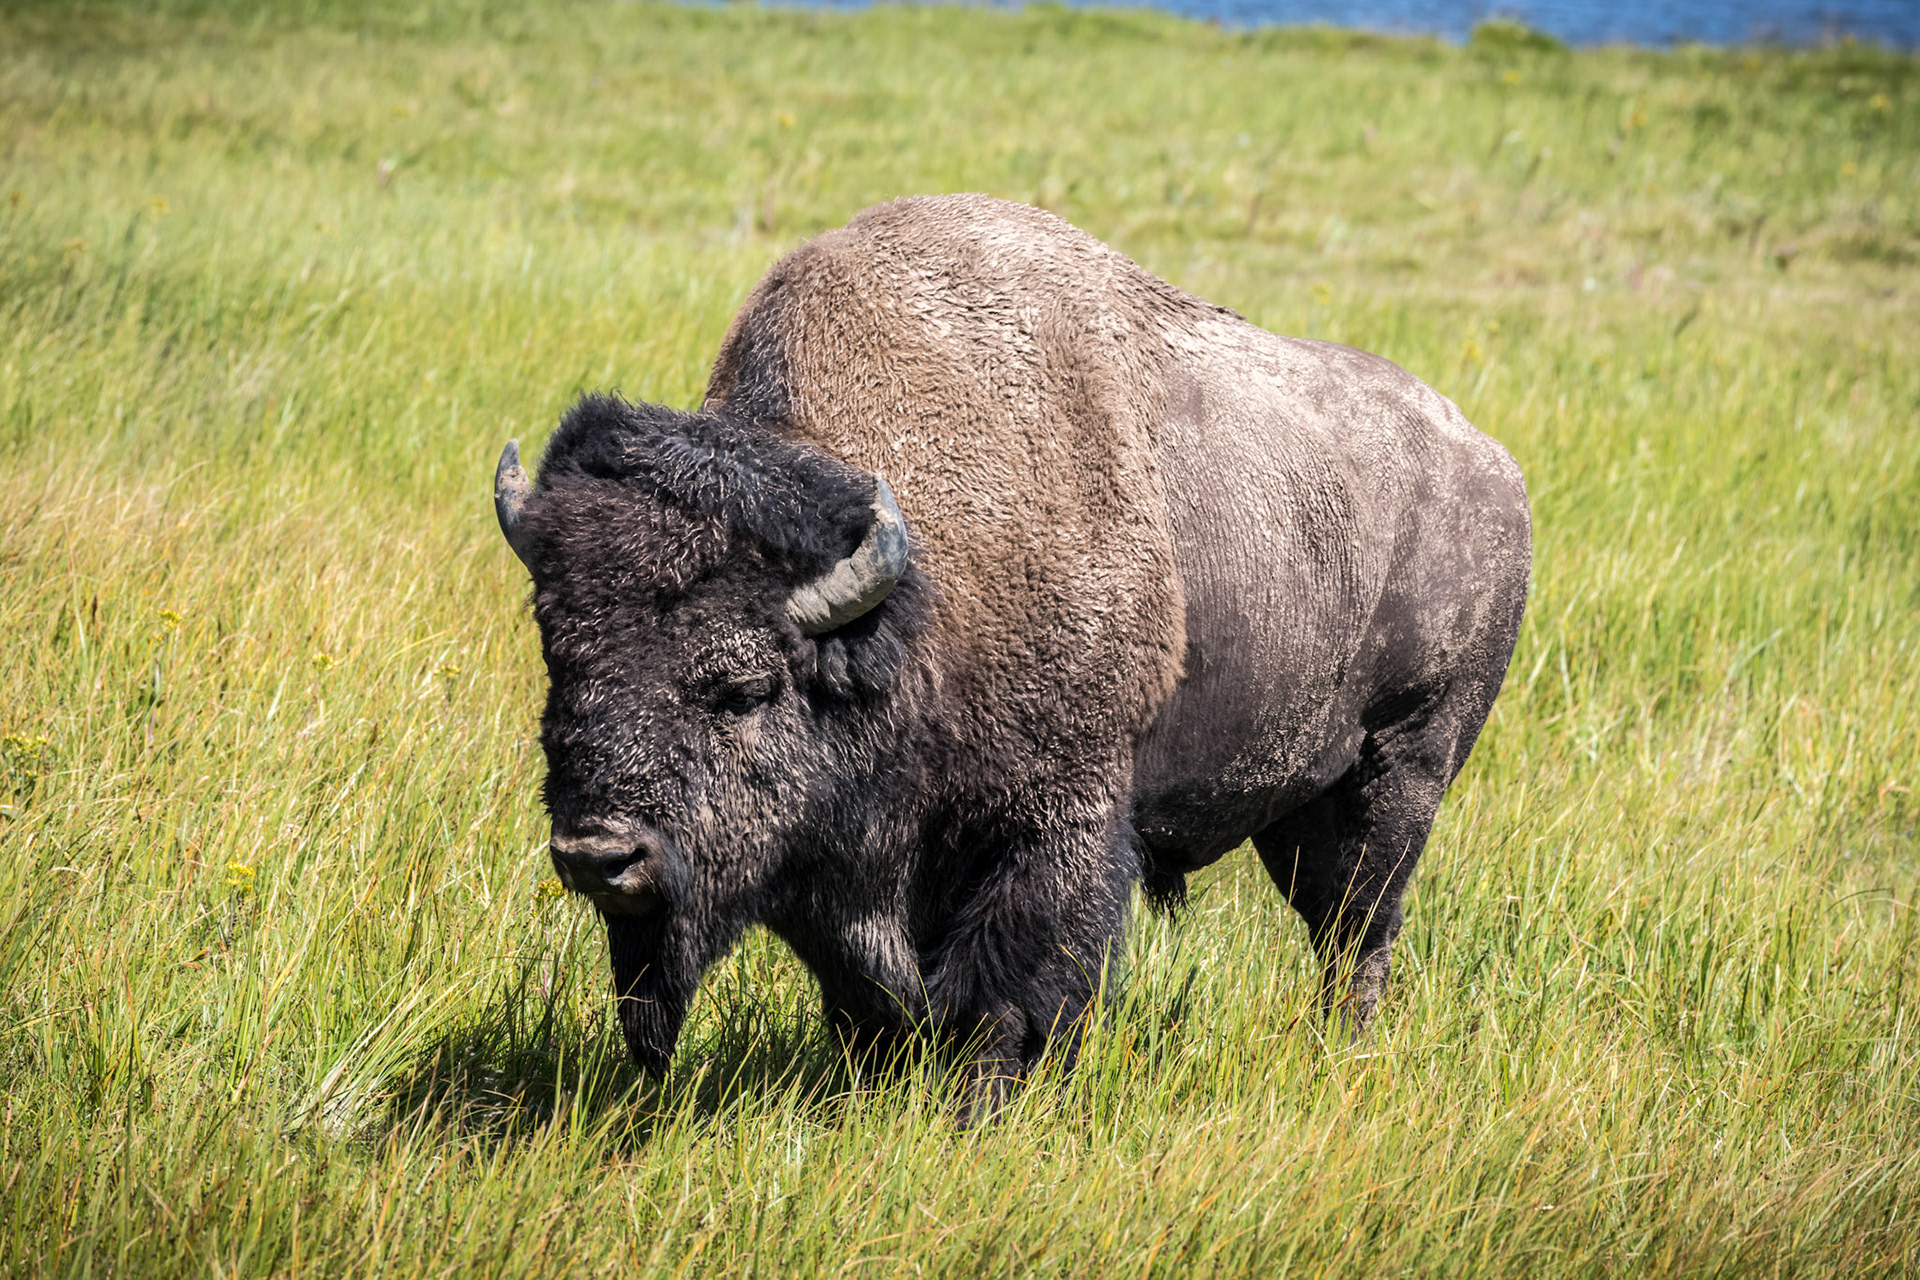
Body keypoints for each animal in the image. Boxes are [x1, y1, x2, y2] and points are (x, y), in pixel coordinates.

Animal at [493, 195, 1530, 1115]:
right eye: (560, 659)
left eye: (743, 686)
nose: (597, 856)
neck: (914, 595)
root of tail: (1496, 467)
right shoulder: (840, 876)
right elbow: (864, 998)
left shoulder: (1054, 825)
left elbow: (1011, 986)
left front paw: (982, 1103)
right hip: (1296, 798)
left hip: (1401, 770)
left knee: (1360, 925)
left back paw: (1341, 1048)